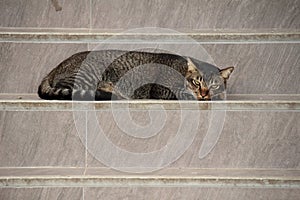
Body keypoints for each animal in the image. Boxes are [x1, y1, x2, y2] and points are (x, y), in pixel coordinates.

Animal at [38, 49, 234, 101]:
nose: (204, 93)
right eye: (196, 82)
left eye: (215, 84)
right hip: (88, 74)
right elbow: (184, 94)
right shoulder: (161, 89)